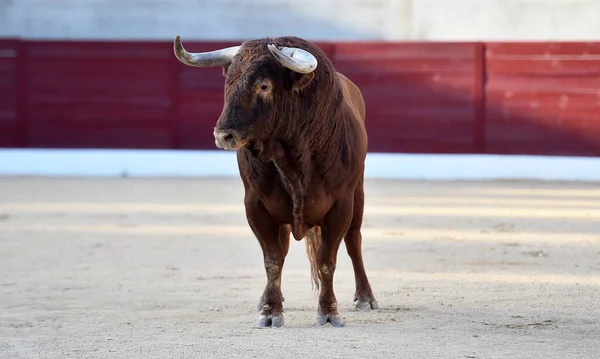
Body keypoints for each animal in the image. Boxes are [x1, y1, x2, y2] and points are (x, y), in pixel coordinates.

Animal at [173, 34, 378, 330]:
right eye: (228, 82)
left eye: (264, 85)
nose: (223, 135)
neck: (292, 157)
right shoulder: (256, 205)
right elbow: (272, 260)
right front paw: (271, 312)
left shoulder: (341, 206)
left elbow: (327, 260)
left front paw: (329, 313)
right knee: (282, 250)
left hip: (358, 195)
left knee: (354, 241)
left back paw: (365, 297)